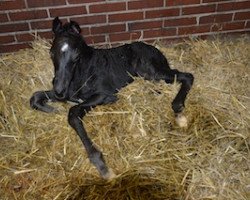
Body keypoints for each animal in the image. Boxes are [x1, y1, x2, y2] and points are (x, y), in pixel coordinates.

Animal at [29, 17, 193, 179]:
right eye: (51, 53)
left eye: (76, 56)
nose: (59, 90)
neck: (81, 73)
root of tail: (155, 49)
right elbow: (35, 97)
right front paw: (53, 109)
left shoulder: (105, 95)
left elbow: (73, 113)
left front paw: (102, 166)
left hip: (152, 72)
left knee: (187, 76)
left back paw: (179, 113)